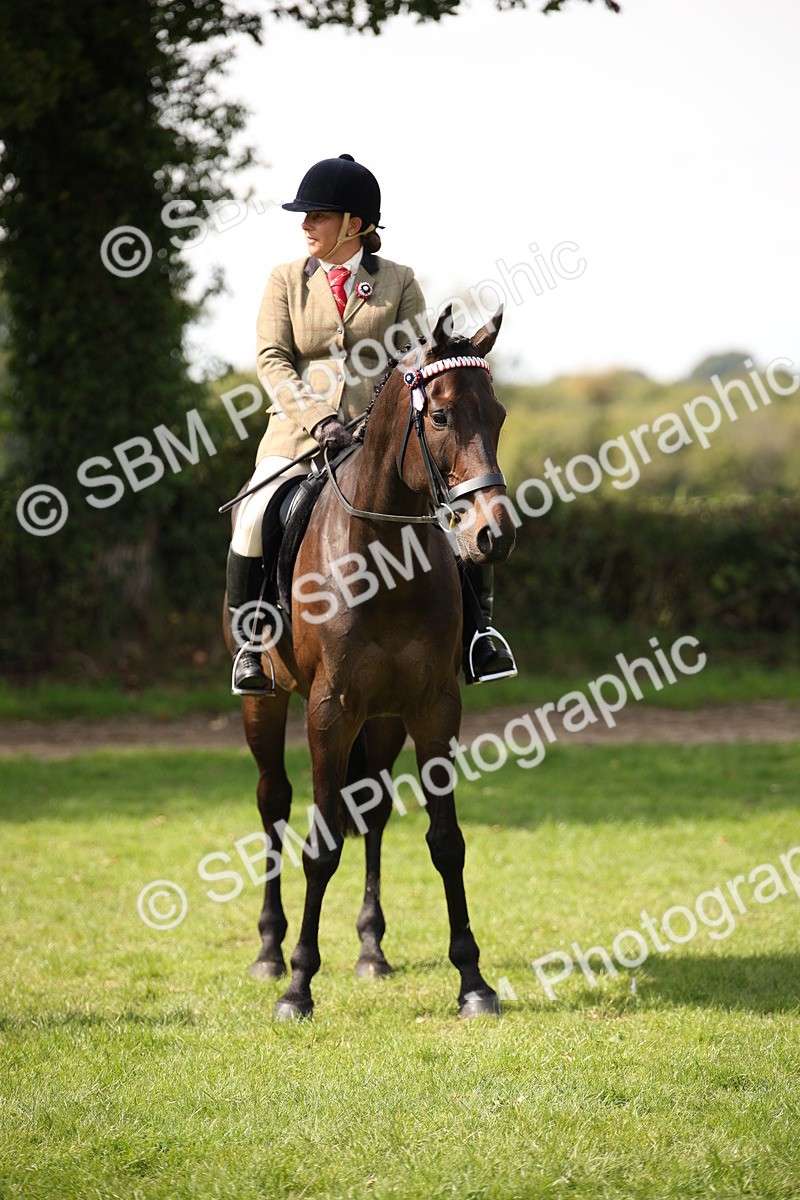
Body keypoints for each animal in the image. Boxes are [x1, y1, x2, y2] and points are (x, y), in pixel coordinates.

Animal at [225, 305, 517, 1020]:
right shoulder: (330, 712)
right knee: (273, 802)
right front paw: (299, 985)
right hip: (267, 703)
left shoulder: (434, 707)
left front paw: (473, 982)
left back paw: (371, 949)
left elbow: (446, 840)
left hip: (385, 720)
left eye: (497, 415)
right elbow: (320, 843)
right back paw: (269, 950)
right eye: (439, 417)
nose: (493, 535)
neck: (384, 560)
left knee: (376, 811)